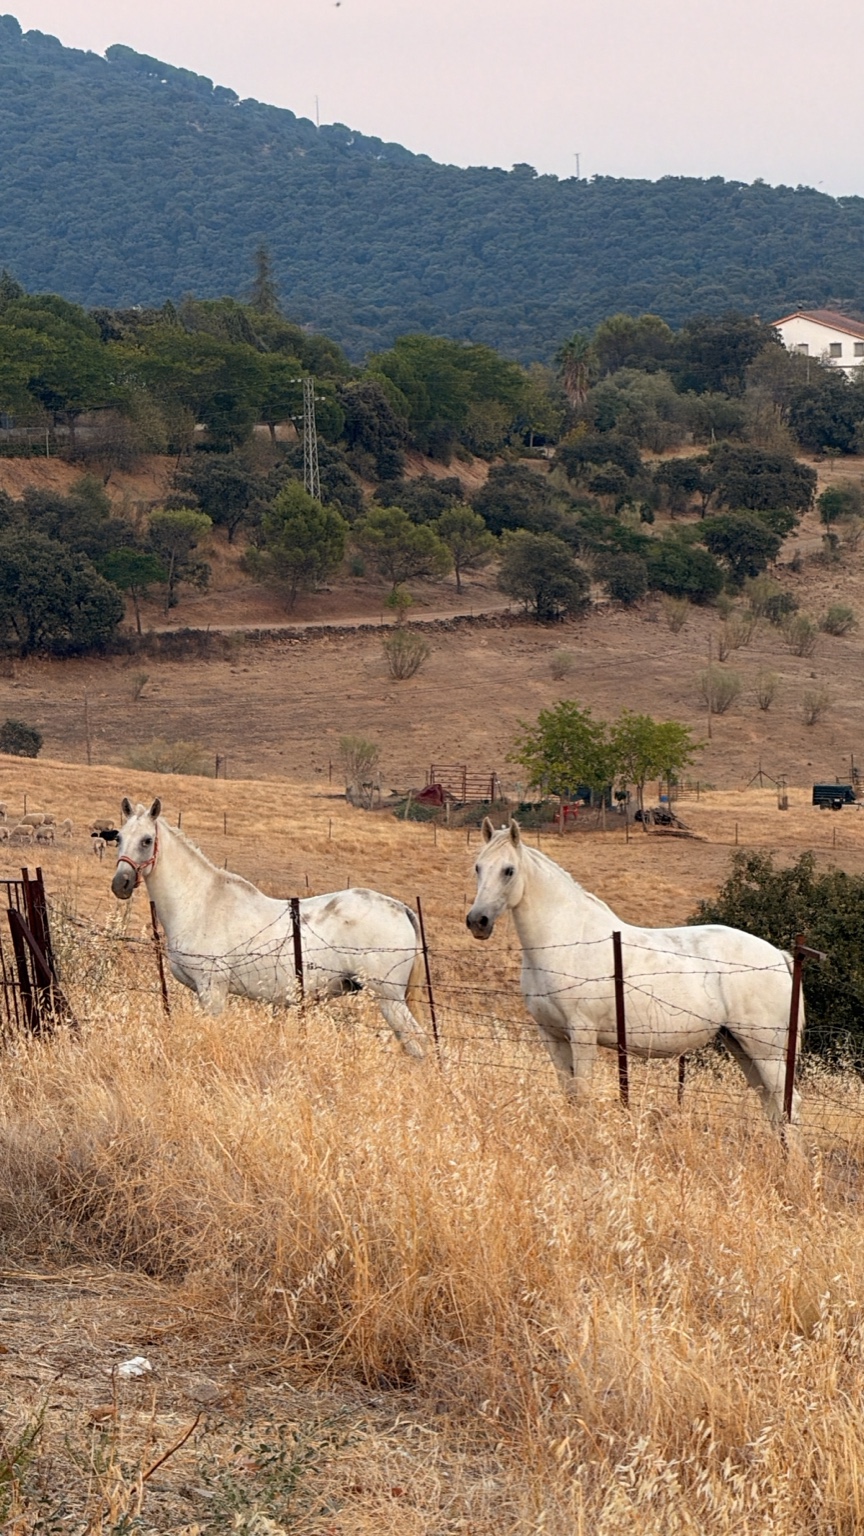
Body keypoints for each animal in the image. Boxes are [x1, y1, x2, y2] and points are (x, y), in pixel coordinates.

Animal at [110, 798, 427, 1058]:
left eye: (147, 840)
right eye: (119, 838)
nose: (120, 884)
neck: (200, 902)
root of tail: (401, 908)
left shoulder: (213, 991)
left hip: (389, 999)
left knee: (417, 1043)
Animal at [466, 819, 800, 1126]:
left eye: (508, 870)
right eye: (478, 867)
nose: (477, 921)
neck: (566, 940)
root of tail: (778, 955)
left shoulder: (582, 1035)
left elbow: (583, 1094)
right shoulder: (551, 1035)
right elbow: (570, 1094)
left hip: (766, 1050)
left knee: (788, 1104)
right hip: (740, 1045)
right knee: (771, 1104)